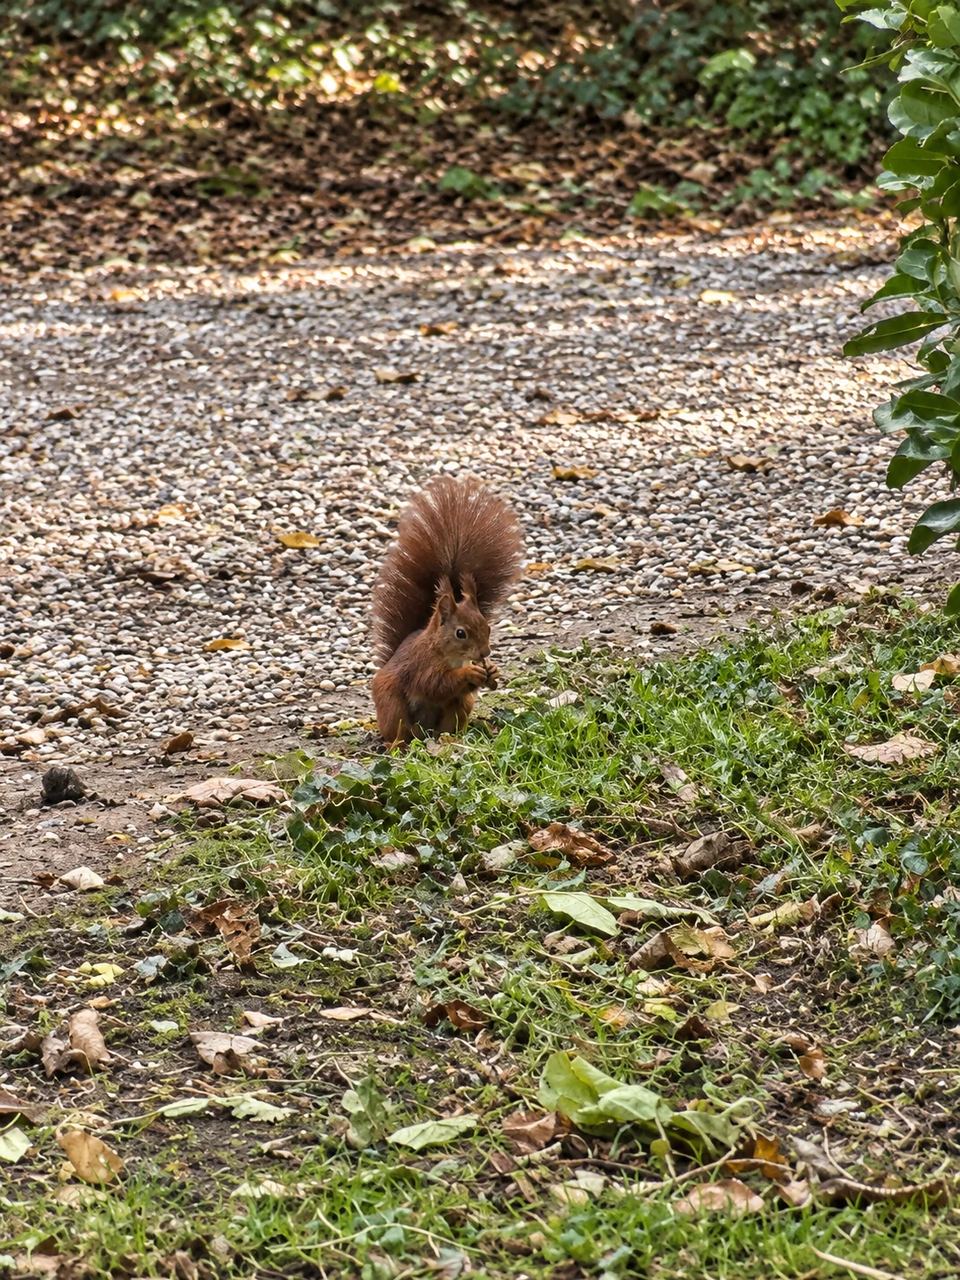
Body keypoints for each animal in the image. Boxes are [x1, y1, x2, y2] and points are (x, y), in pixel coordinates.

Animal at [371, 476, 524, 745]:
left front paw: (492, 670)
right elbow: (435, 684)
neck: (449, 654)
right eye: (460, 633)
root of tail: (422, 733)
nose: (485, 652)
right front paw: (469, 672)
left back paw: (450, 739)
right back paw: (397, 744)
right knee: (398, 729)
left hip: (459, 707)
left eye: (488, 628)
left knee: (450, 718)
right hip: (391, 703)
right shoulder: (421, 665)